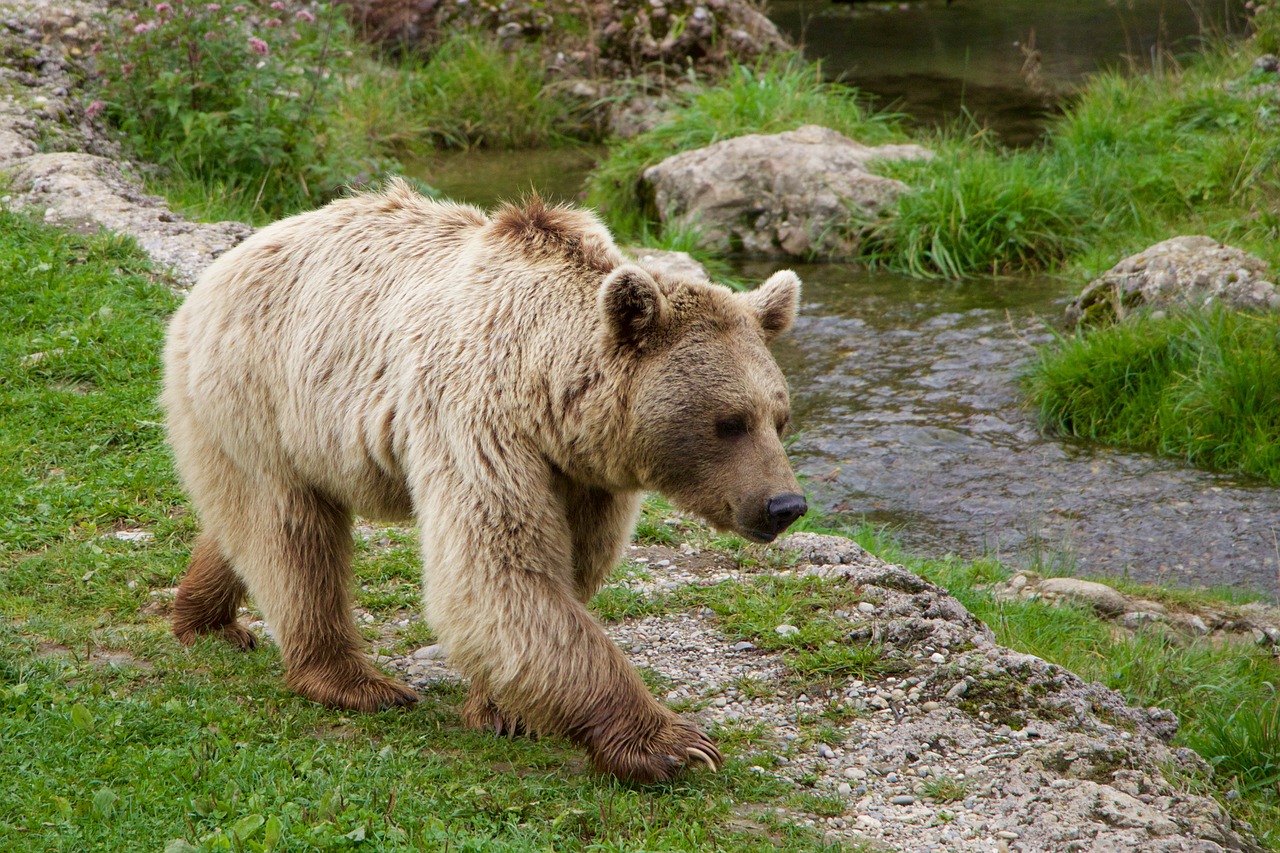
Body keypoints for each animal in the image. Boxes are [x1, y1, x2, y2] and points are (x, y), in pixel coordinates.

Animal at [157, 179, 798, 778]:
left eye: (780, 417)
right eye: (729, 422)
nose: (785, 504)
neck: (549, 393)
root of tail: (221, 267)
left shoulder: (583, 473)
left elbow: (567, 569)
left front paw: (503, 709)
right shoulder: (477, 423)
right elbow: (497, 568)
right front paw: (675, 744)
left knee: (246, 525)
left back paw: (207, 620)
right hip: (263, 393)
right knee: (292, 536)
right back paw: (354, 681)